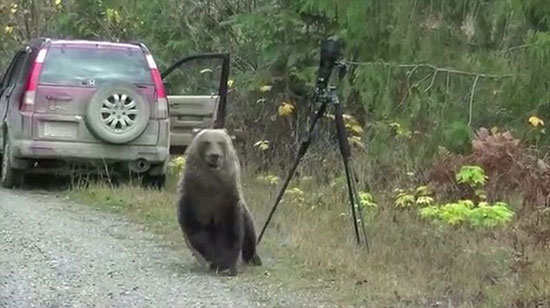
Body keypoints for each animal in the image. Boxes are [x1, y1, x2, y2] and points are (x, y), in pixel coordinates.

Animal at [177, 127, 264, 274]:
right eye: (207, 142)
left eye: (220, 142)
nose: (215, 155)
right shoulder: (193, 201)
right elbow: (198, 233)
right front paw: (214, 260)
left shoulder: (228, 201)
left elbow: (231, 233)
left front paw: (226, 266)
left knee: (250, 236)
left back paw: (254, 259)